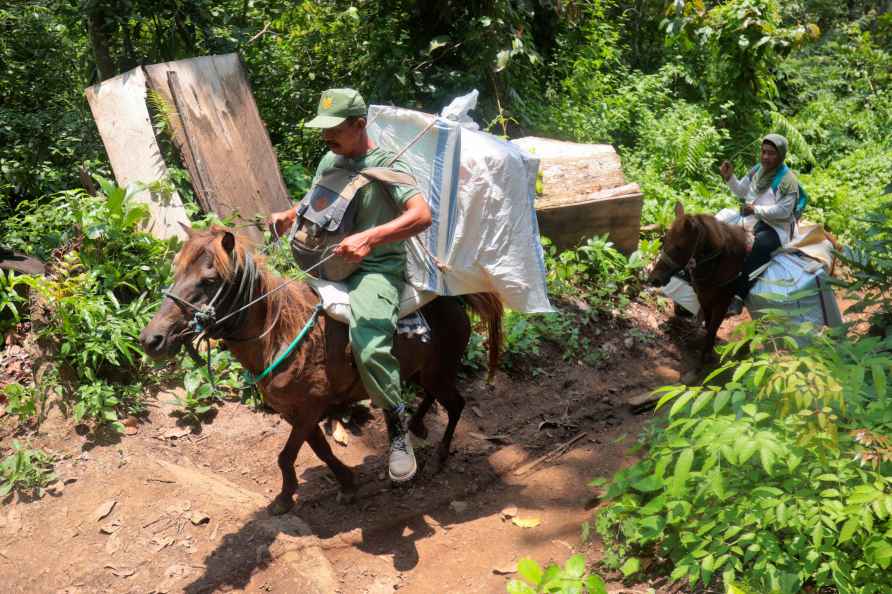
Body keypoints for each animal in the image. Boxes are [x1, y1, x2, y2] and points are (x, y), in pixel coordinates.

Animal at [139, 227, 502, 512]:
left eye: (210, 280)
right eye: (176, 274)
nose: (151, 339)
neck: (279, 334)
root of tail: (455, 299)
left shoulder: (309, 408)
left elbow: (286, 456)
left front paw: (285, 498)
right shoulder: (293, 412)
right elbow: (320, 450)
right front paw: (346, 483)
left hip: (437, 372)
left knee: (455, 404)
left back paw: (439, 455)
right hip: (421, 371)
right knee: (428, 397)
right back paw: (415, 425)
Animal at [648, 201, 744, 364]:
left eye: (679, 247)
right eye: (664, 240)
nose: (655, 279)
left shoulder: (722, 302)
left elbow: (713, 327)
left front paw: (706, 355)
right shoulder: (703, 297)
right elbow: (708, 322)